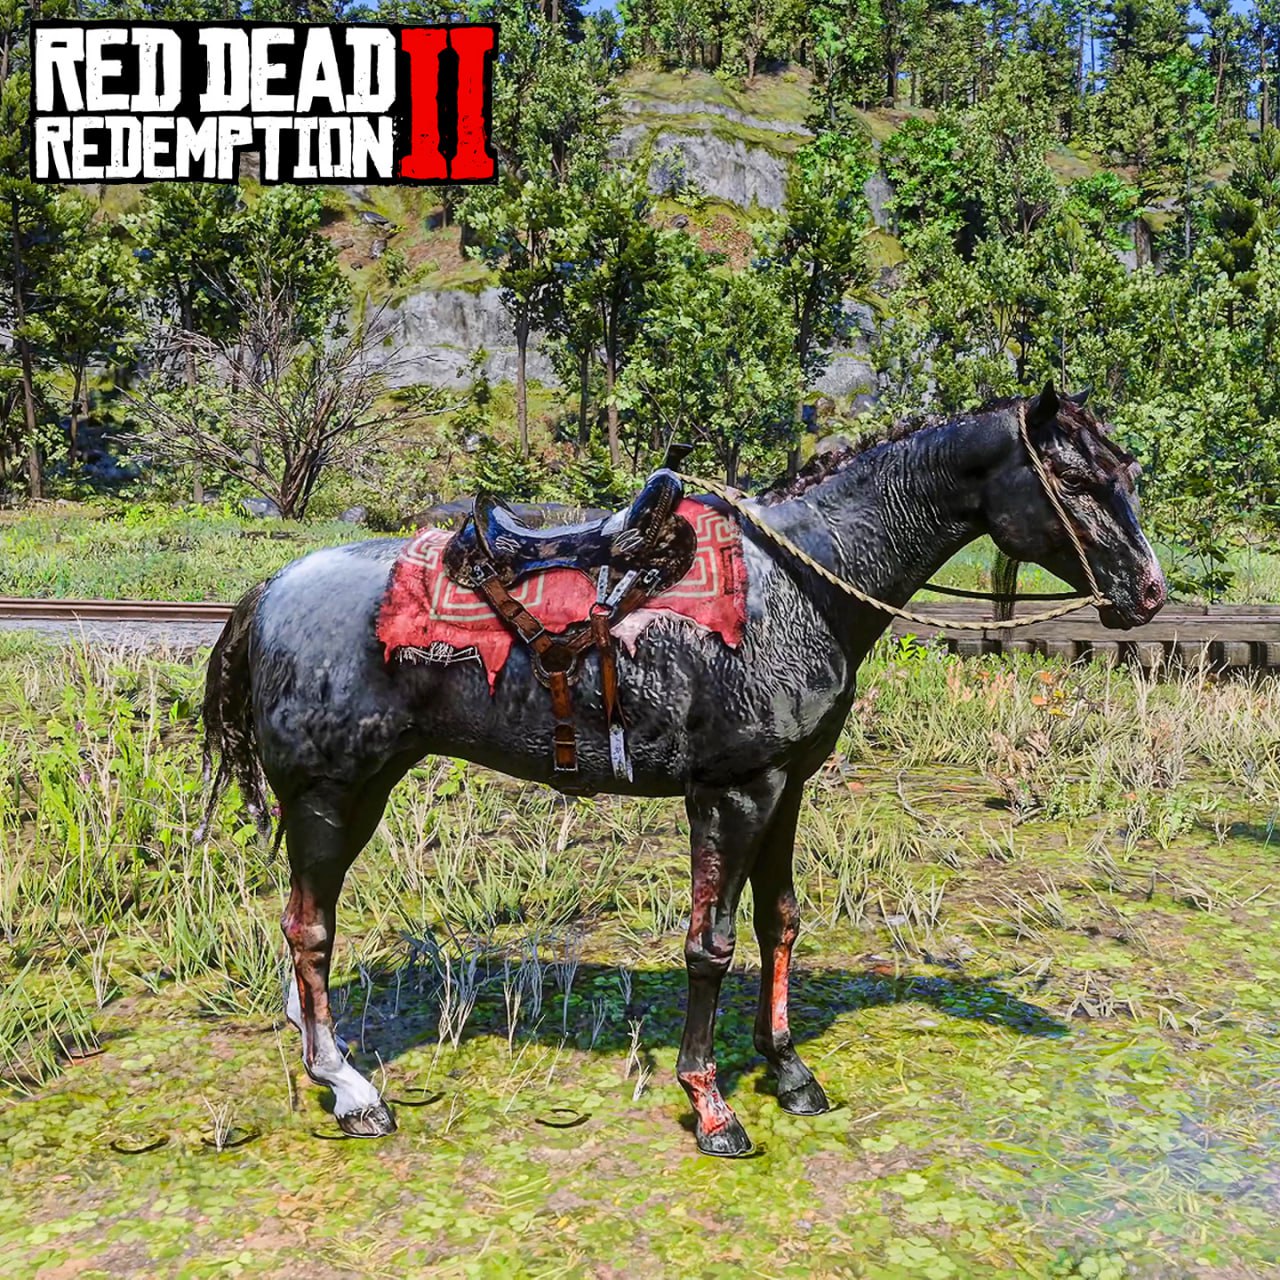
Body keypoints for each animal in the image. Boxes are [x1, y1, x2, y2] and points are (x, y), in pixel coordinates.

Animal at [200, 385, 1166, 1156]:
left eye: (1125, 470)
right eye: (1076, 479)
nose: (1149, 594)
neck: (801, 583)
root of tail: (271, 589)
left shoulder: (785, 786)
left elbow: (780, 922)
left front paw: (788, 1070)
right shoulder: (731, 792)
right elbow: (711, 945)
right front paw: (710, 1105)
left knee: (302, 930)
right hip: (332, 795)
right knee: (308, 931)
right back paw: (350, 1088)